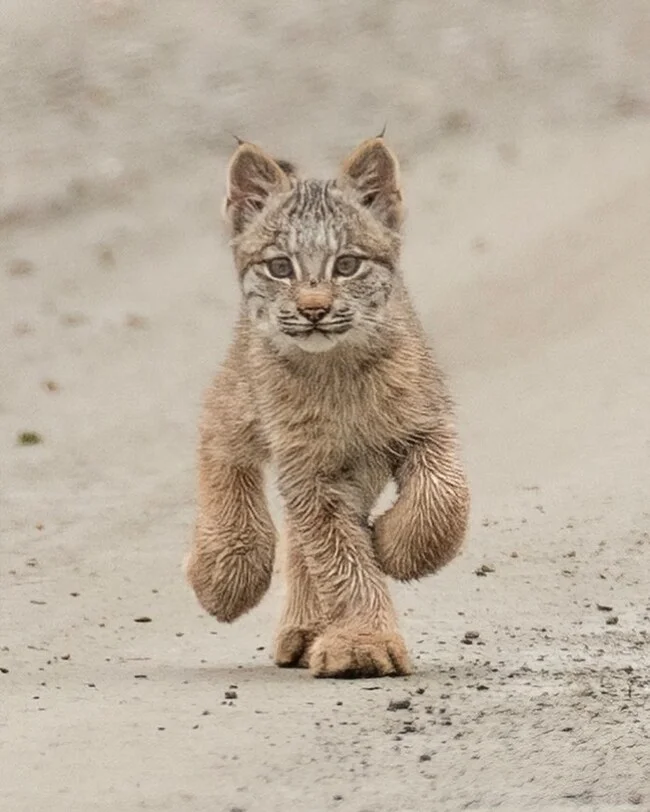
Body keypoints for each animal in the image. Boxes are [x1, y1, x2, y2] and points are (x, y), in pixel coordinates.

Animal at [185, 135, 468, 680]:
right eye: (280, 267)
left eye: (347, 265)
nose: (313, 309)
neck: (338, 370)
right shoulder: (311, 468)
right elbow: (338, 556)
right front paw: (363, 640)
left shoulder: (427, 423)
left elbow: (444, 500)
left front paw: (396, 548)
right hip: (244, 394)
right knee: (217, 435)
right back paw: (226, 569)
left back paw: (304, 624)